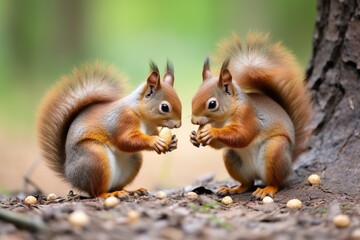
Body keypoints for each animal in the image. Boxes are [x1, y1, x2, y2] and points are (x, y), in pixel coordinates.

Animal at [38, 61, 181, 198]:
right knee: (96, 192)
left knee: (116, 186)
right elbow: (125, 140)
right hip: (95, 157)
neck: (144, 118)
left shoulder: (150, 128)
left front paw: (173, 142)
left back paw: (131, 191)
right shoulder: (124, 119)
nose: (178, 125)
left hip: (133, 161)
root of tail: (70, 175)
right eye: (164, 107)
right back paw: (110, 194)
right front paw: (154, 142)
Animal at [191, 33, 312, 199]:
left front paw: (210, 132)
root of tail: (290, 160)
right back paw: (233, 188)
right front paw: (194, 137)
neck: (223, 119)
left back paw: (267, 189)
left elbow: (243, 135)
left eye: (212, 104)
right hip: (232, 158)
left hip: (275, 150)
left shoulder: (247, 115)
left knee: (276, 181)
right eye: (193, 97)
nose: (193, 121)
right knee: (248, 183)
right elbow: (220, 145)